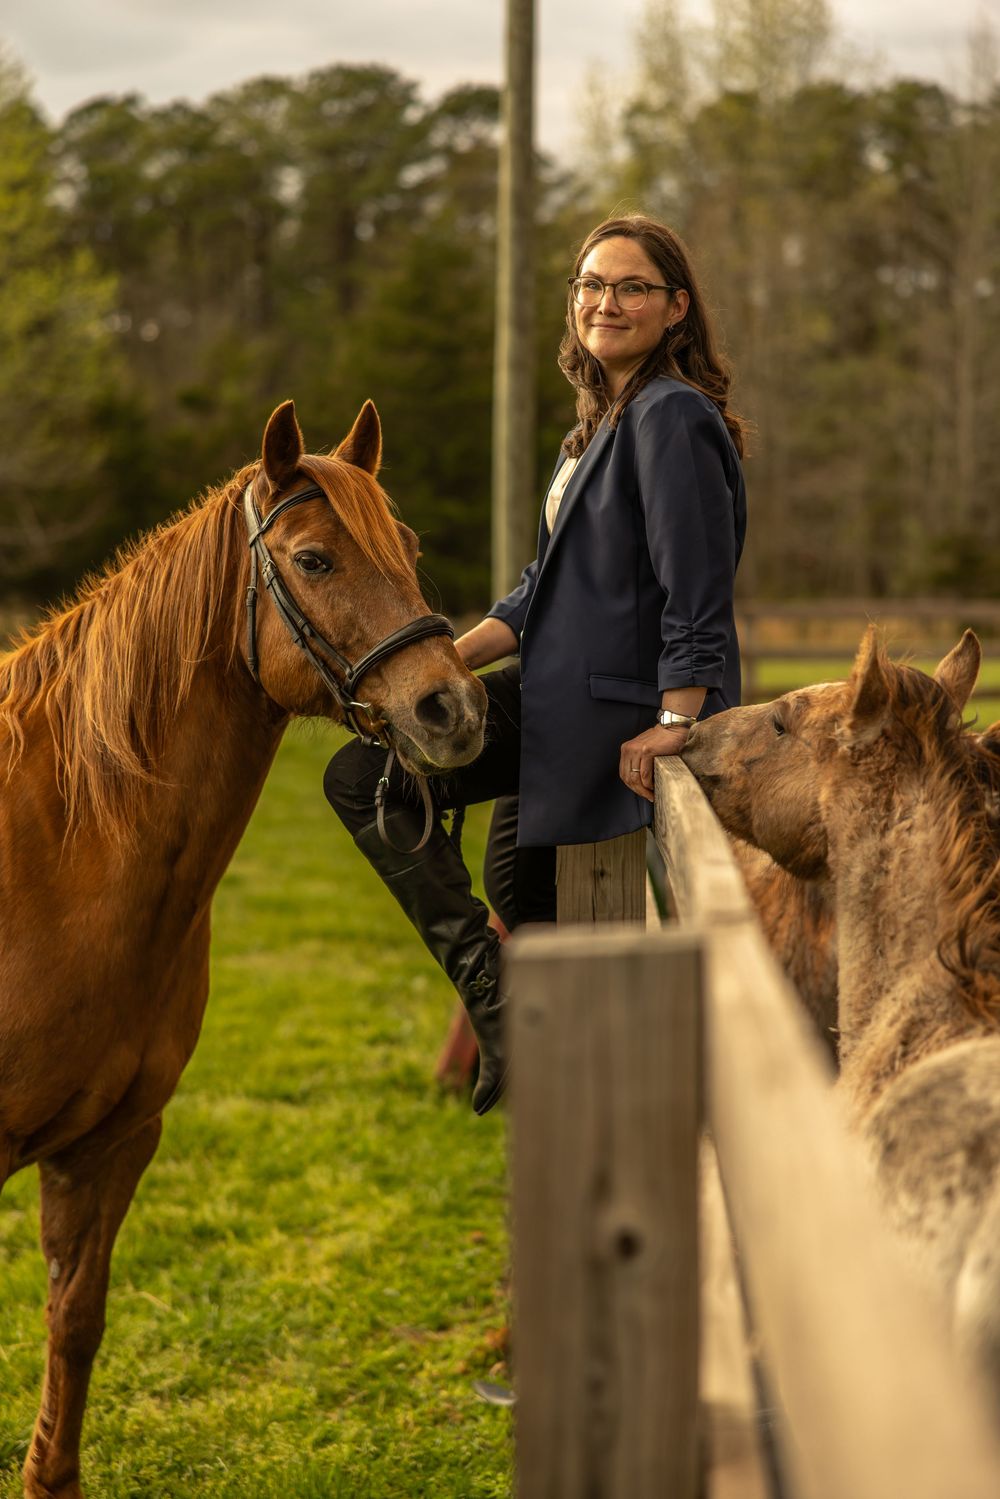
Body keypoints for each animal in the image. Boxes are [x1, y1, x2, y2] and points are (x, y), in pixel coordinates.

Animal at [0, 397, 487, 1499]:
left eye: (407, 549)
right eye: (313, 559)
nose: (452, 708)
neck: (62, 844)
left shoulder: (112, 1142)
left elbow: (74, 1320)